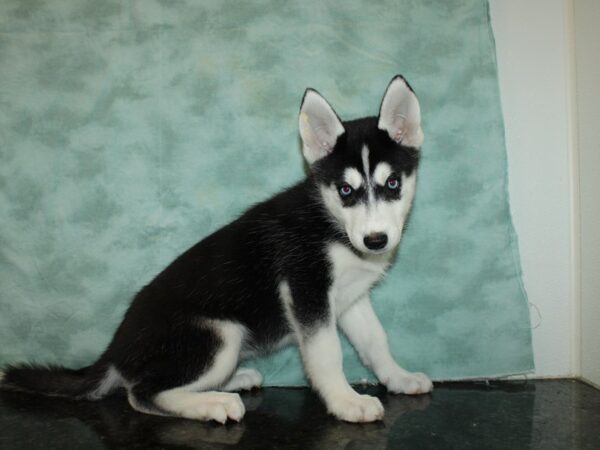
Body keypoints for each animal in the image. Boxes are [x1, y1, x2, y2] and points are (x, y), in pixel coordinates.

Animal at [0, 75, 432, 424]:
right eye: (345, 190)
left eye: (393, 183)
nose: (375, 240)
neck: (331, 223)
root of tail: (114, 350)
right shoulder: (307, 292)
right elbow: (328, 355)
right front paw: (345, 402)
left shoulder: (349, 299)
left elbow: (375, 341)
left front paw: (397, 377)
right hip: (220, 335)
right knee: (140, 393)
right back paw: (211, 404)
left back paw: (231, 382)